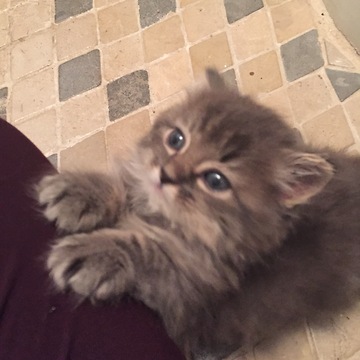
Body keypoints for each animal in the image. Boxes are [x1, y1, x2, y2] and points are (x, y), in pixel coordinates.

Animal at [35, 69, 360, 358]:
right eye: (176, 139)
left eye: (215, 181)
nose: (165, 175)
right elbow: (125, 186)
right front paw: (79, 191)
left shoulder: (186, 296)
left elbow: (148, 253)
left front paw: (96, 253)